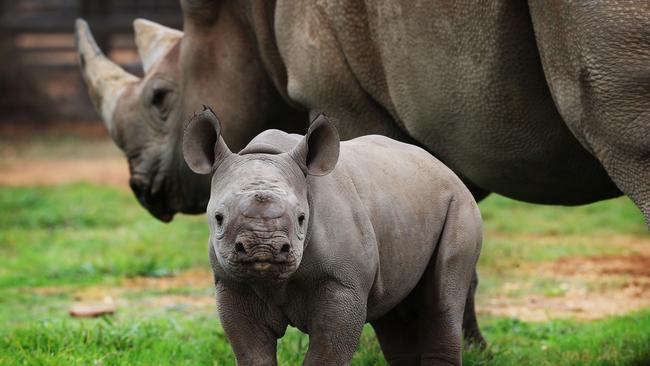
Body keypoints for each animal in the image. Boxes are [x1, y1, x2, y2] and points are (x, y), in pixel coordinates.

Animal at [182, 106, 480, 366]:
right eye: (219, 218)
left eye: (302, 218)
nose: (263, 249)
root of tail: (443, 166)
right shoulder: (232, 284)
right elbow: (252, 355)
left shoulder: (343, 285)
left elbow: (326, 355)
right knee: (391, 314)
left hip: (460, 204)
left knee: (441, 305)